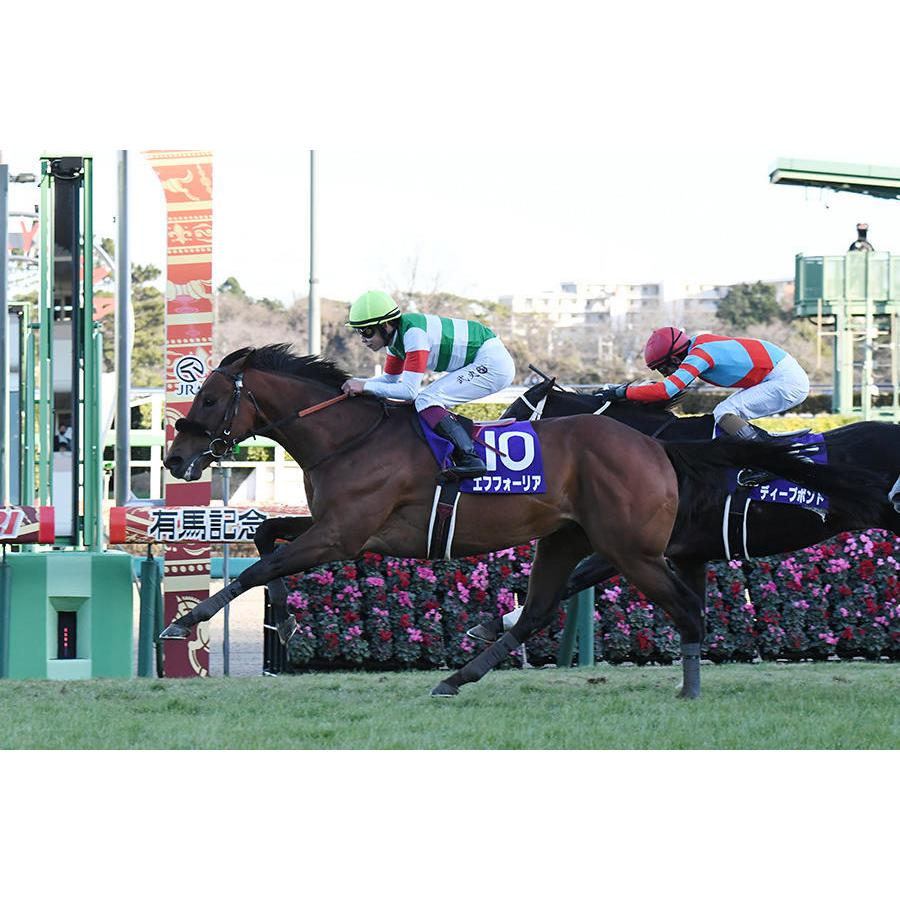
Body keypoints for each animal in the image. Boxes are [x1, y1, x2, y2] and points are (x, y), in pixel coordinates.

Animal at [467, 370, 900, 645]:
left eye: (513, 415)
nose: (478, 446)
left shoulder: (634, 544)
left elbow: (575, 578)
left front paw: (496, 623)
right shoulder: (679, 552)